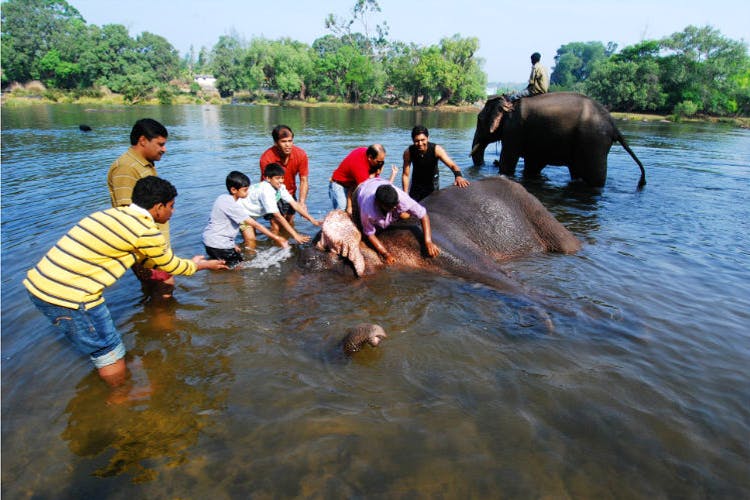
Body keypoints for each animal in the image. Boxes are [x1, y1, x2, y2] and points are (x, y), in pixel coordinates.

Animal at [472, 92, 648, 189]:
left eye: (479, 119)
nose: (488, 164)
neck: (507, 100)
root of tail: (613, 125)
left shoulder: (514, 130)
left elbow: (508, 161)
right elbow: (533, 166)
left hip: (593, 142)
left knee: (595, 178)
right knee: (577, 172)